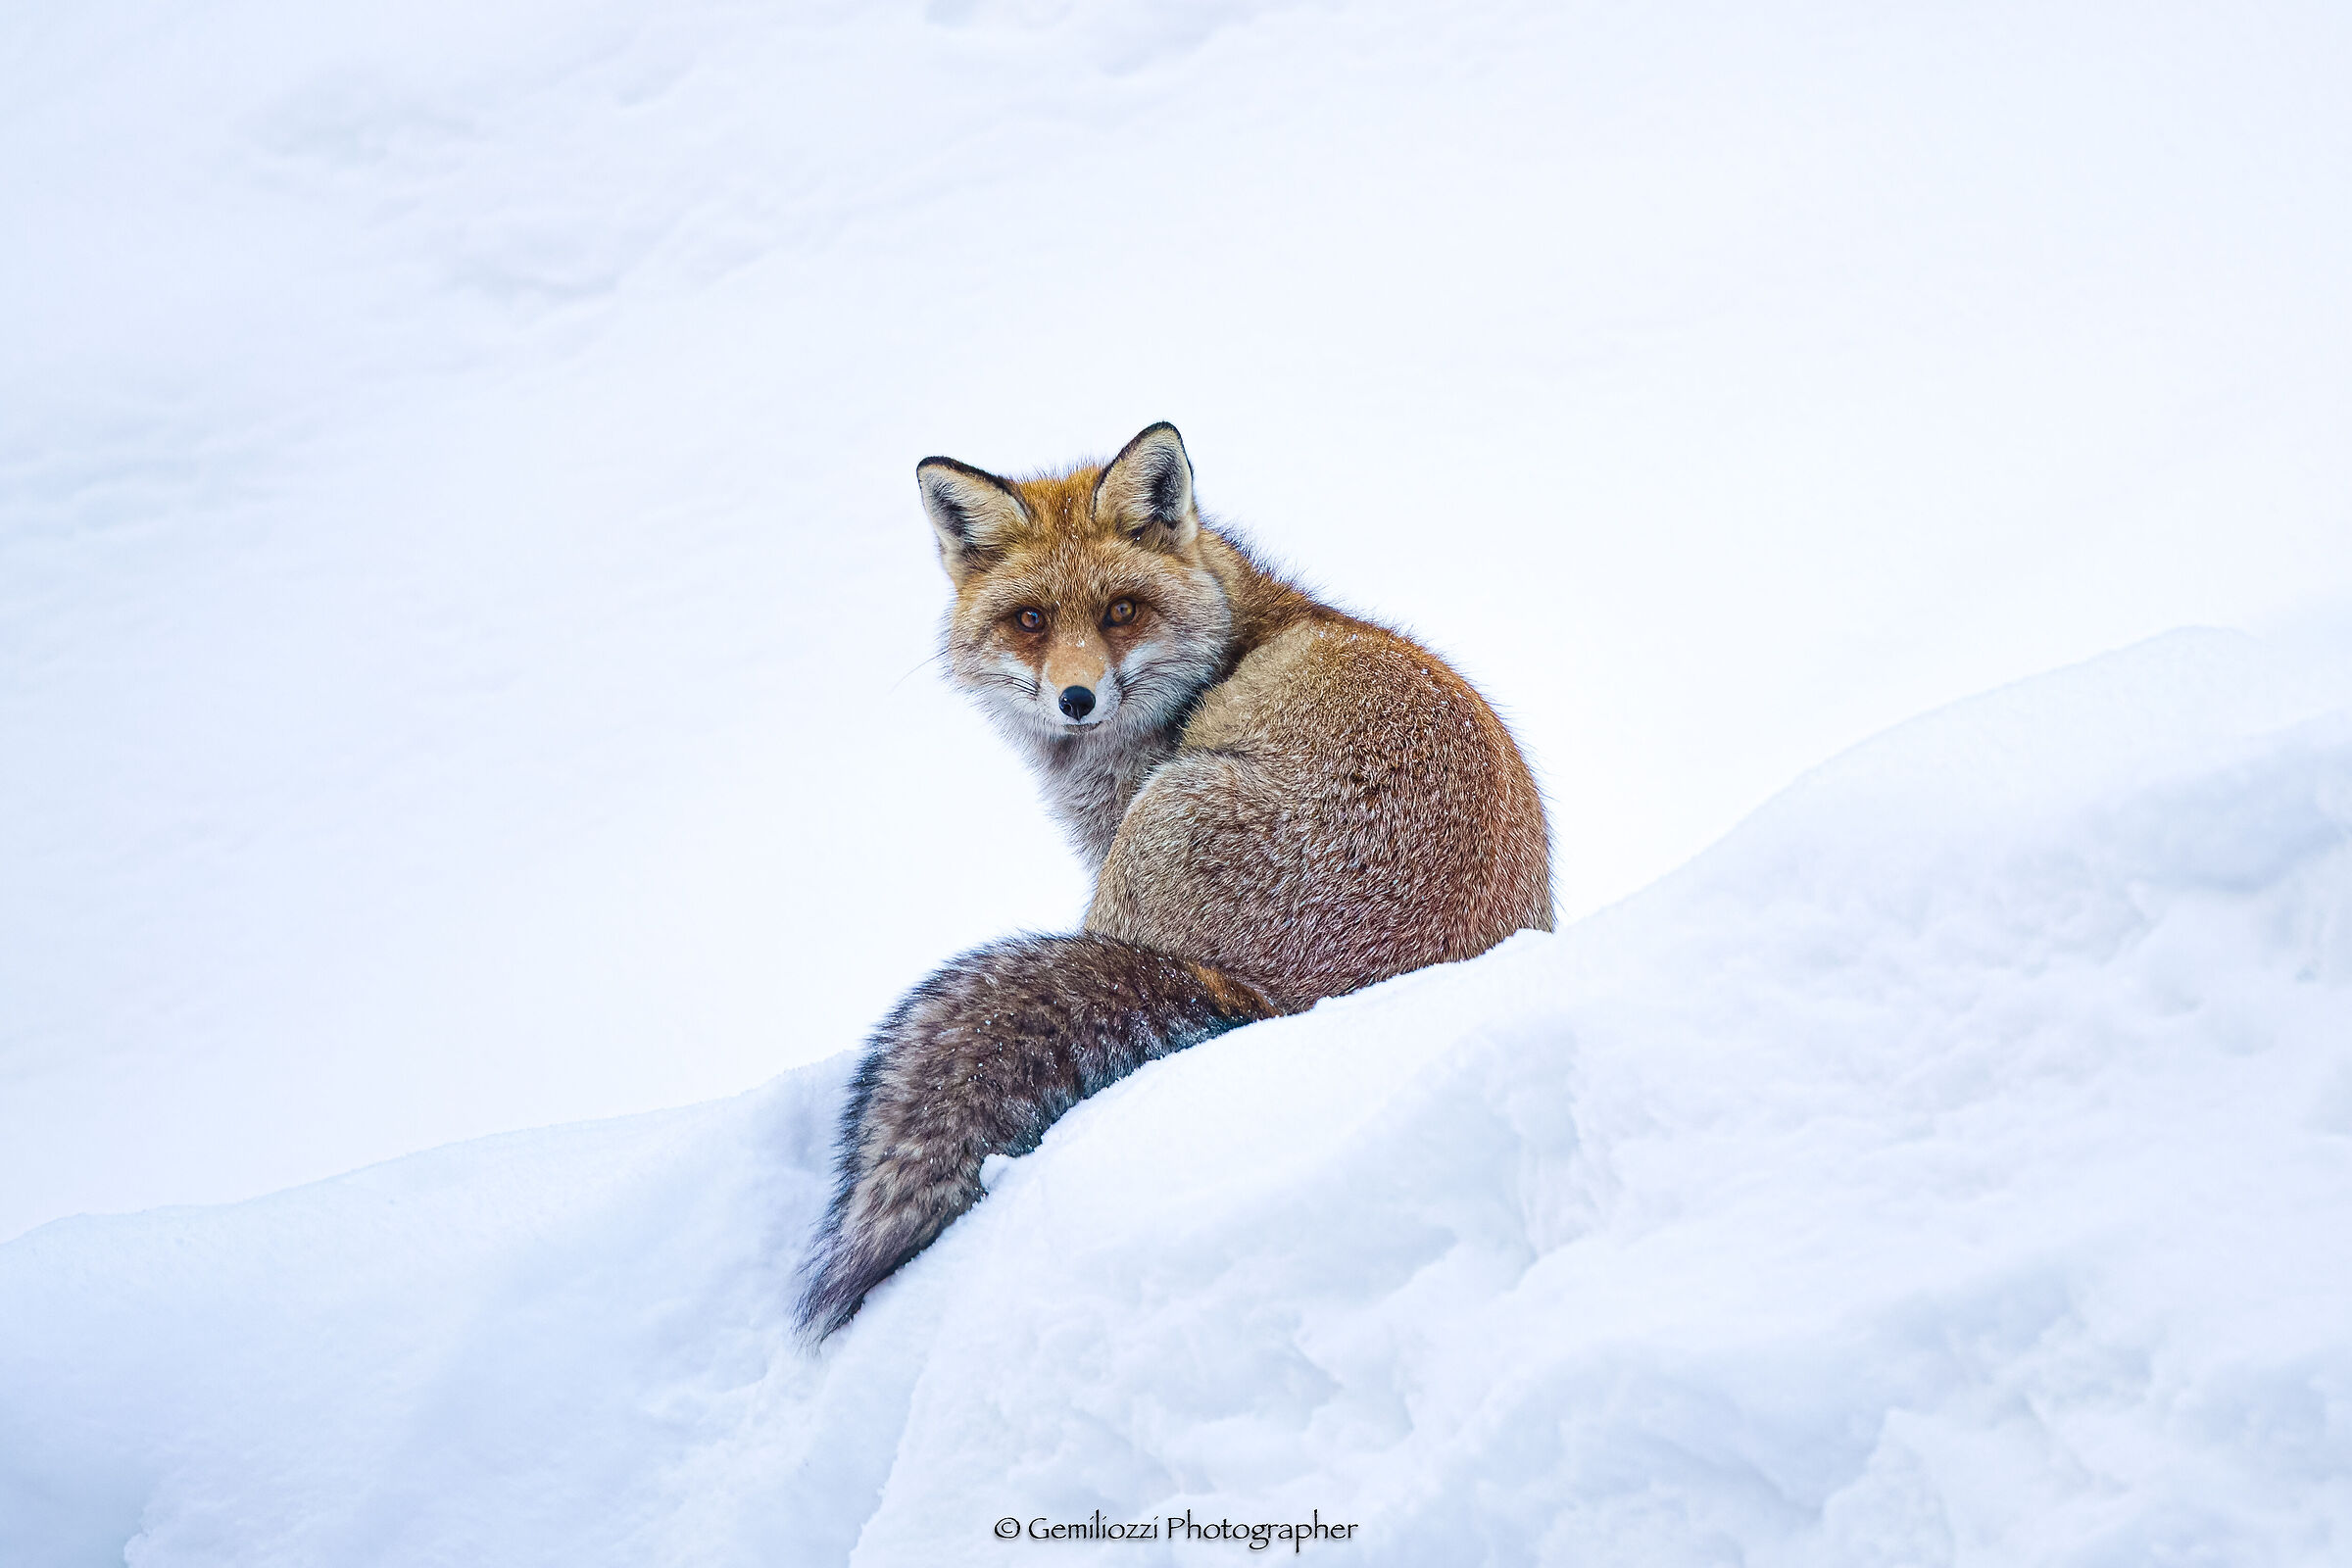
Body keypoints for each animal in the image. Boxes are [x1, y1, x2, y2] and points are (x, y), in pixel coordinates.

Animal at [795, 422, 1553, 1339]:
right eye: (1030, 620)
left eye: (1121, 610)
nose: (1076, 699)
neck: (1223, 644)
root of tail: (1278, 1003)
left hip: (1157, 822)